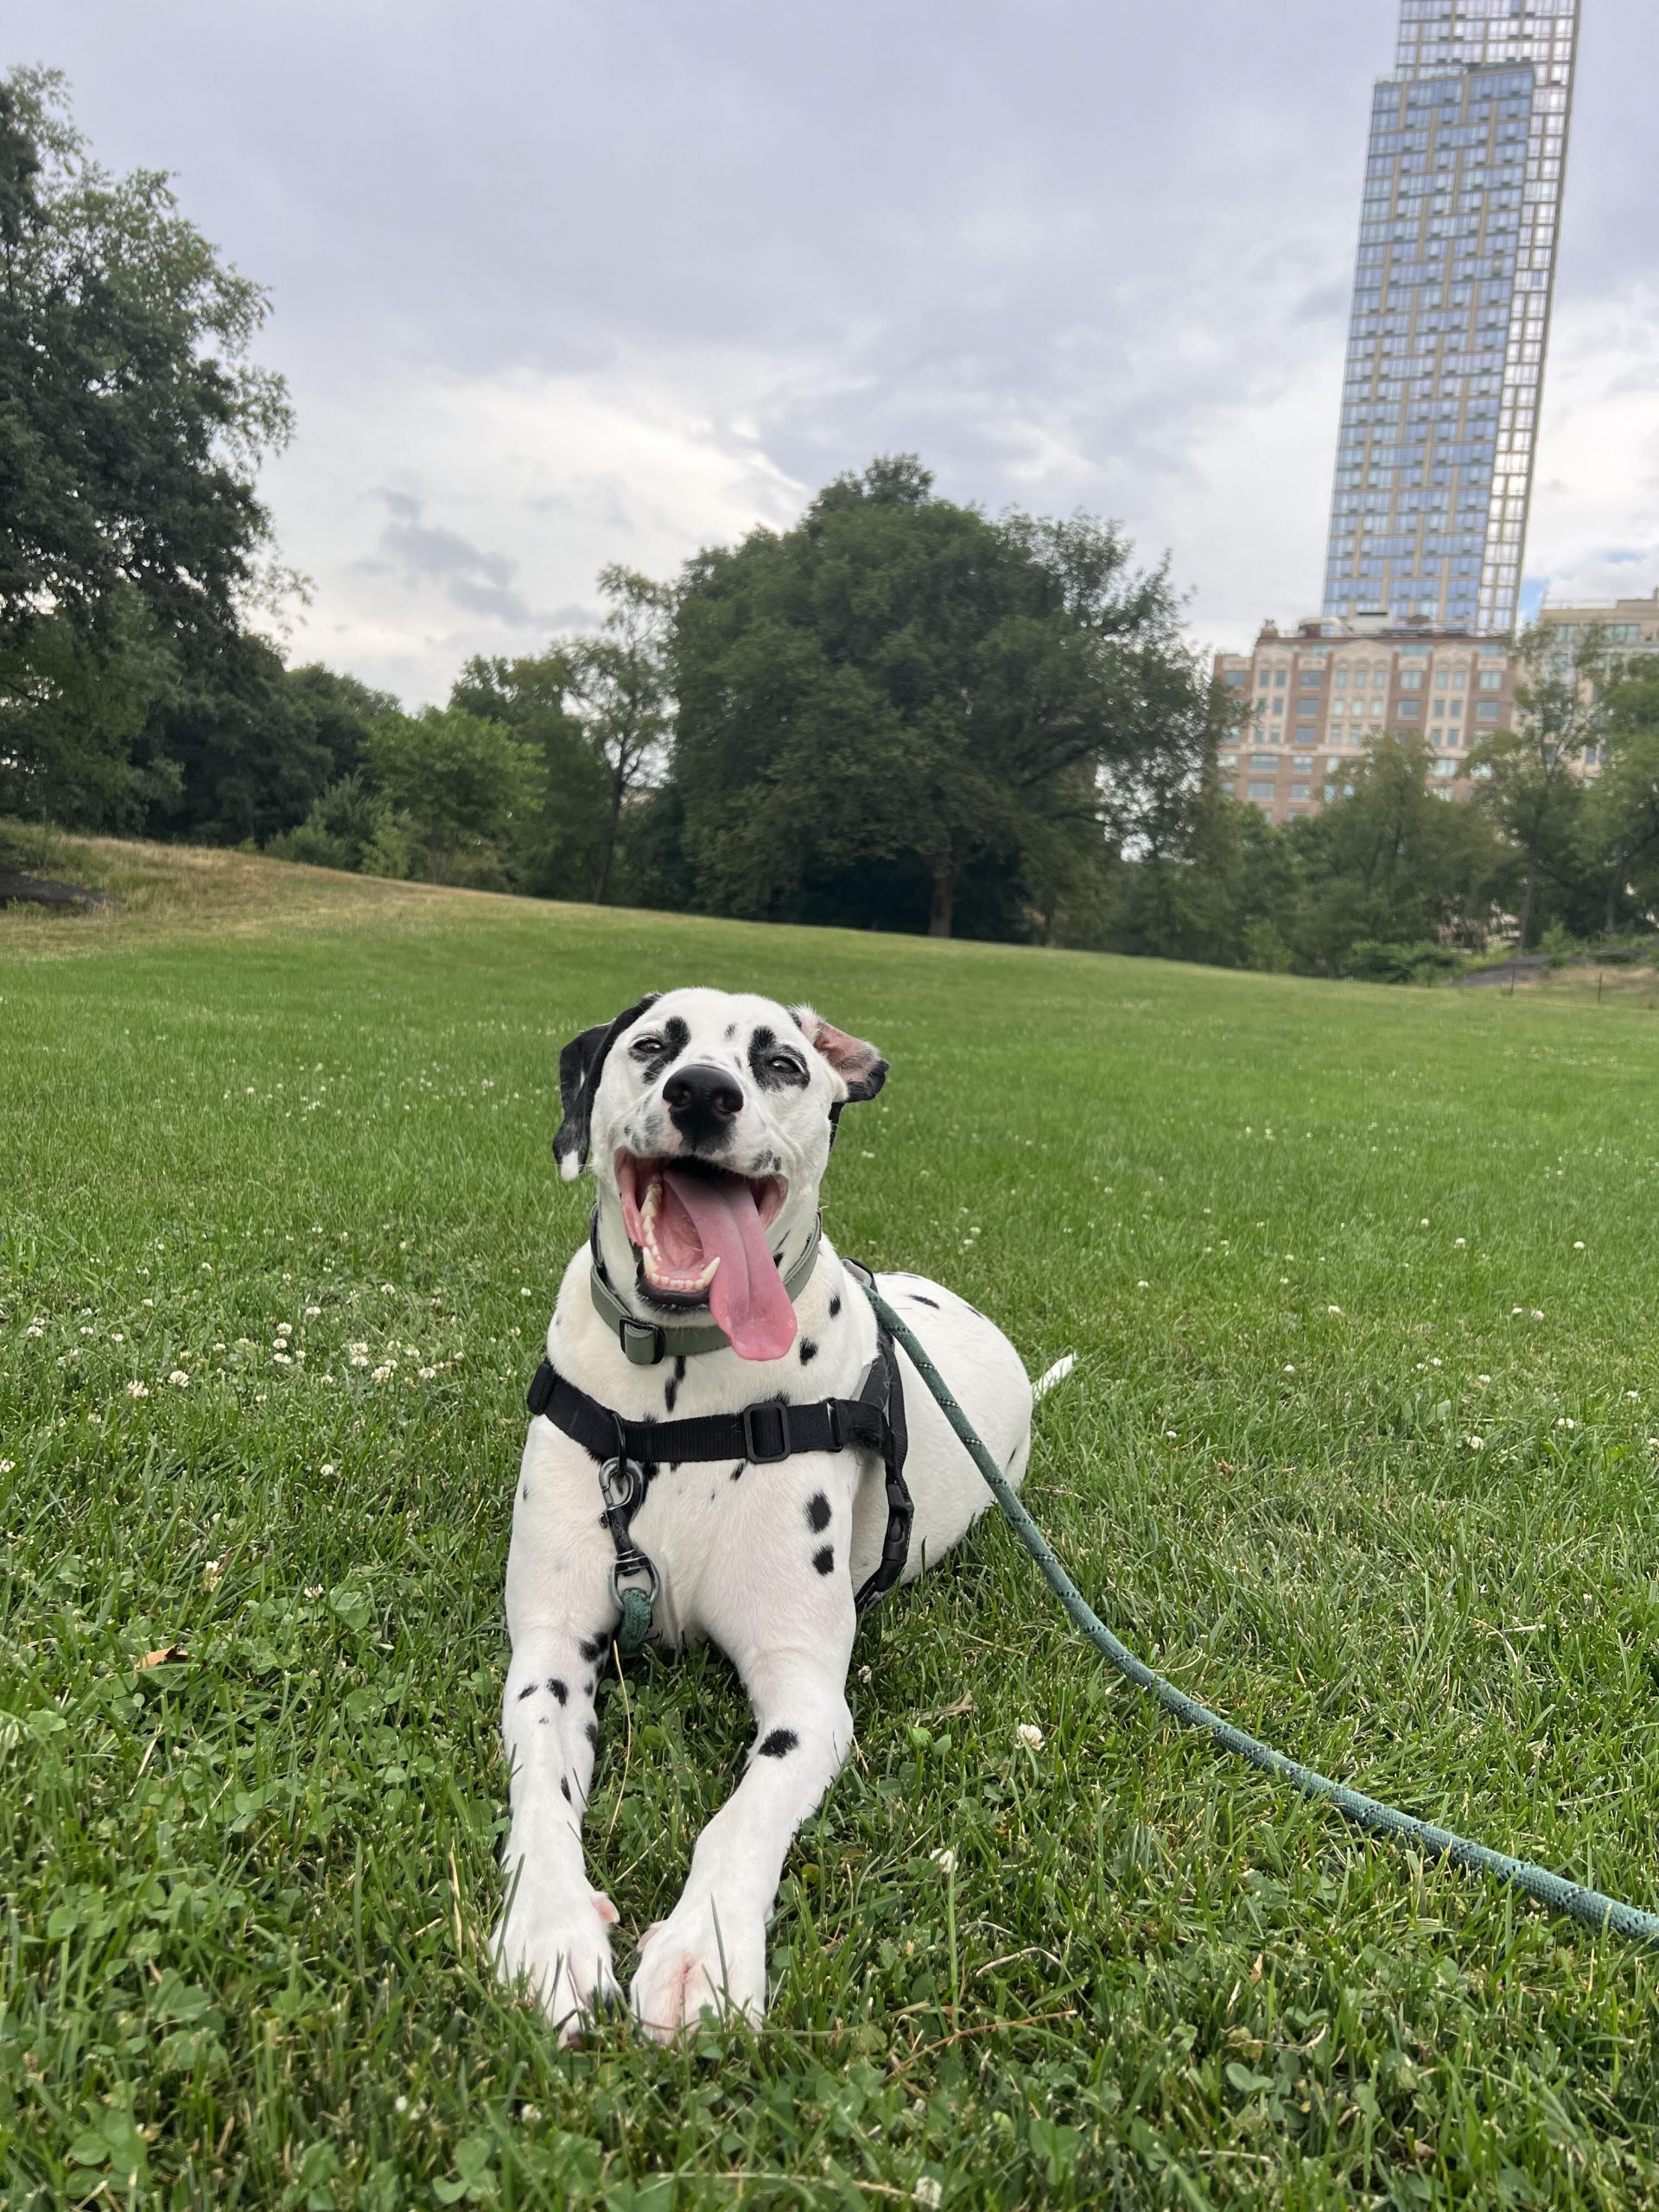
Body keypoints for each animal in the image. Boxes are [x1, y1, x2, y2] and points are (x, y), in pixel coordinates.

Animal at [491, 986, 1052, 2035]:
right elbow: (542, 1793)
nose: (703, 1093)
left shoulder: (807, 1695)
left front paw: (702, 1951)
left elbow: (742, 1817)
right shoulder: (547, 1654)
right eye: (654, 1046)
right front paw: (549, 1926)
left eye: (780, 1063)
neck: (678, 1404)